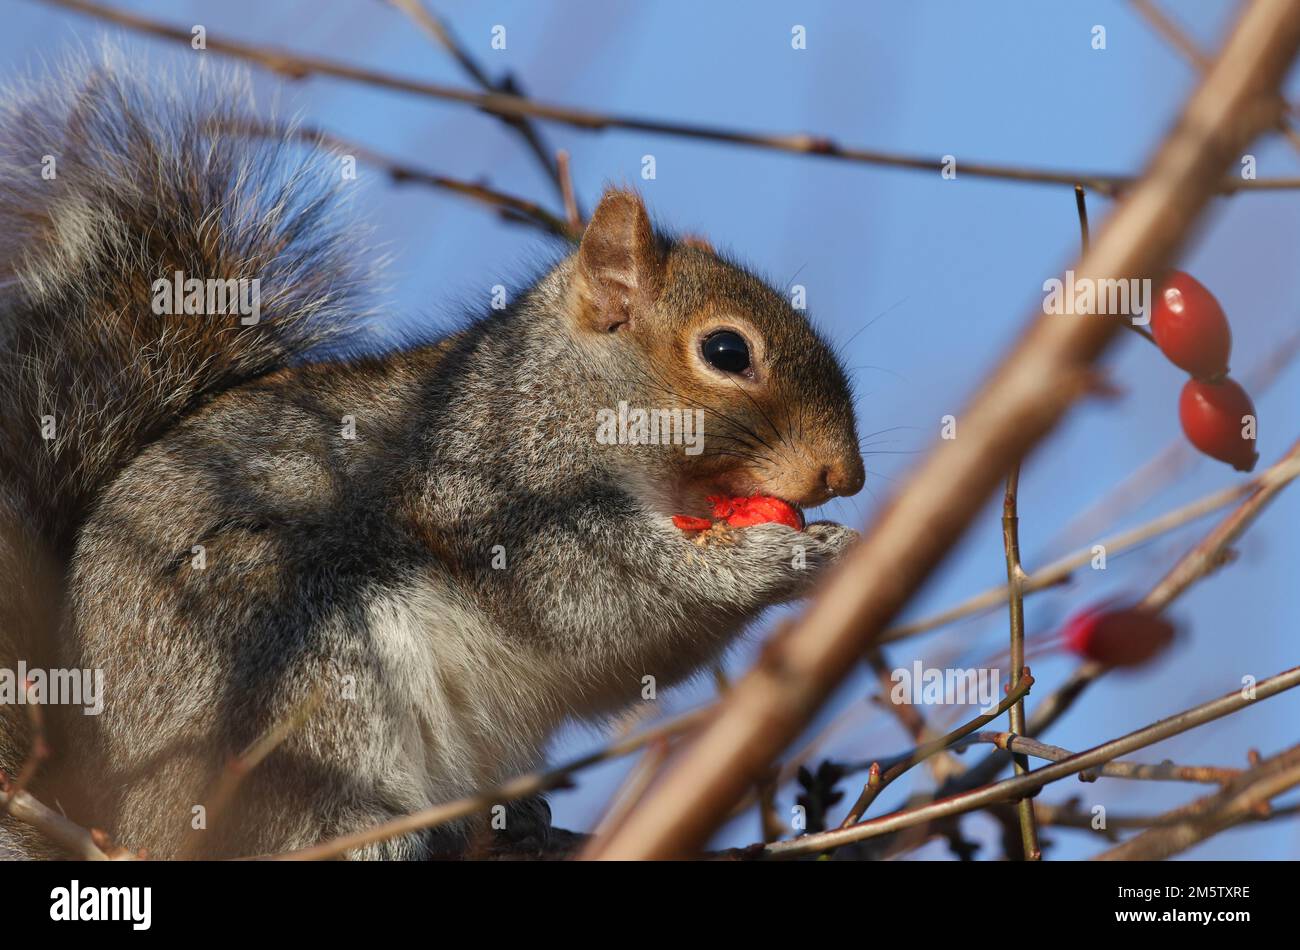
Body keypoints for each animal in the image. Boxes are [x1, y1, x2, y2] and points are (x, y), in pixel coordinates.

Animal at [0, 49, 865, 859]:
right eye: (726, 351)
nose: (845, 475)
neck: (575, 400)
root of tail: (109, 812)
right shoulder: (486, 492)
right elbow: (595, 597)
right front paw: (773, 559)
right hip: (298, 675)